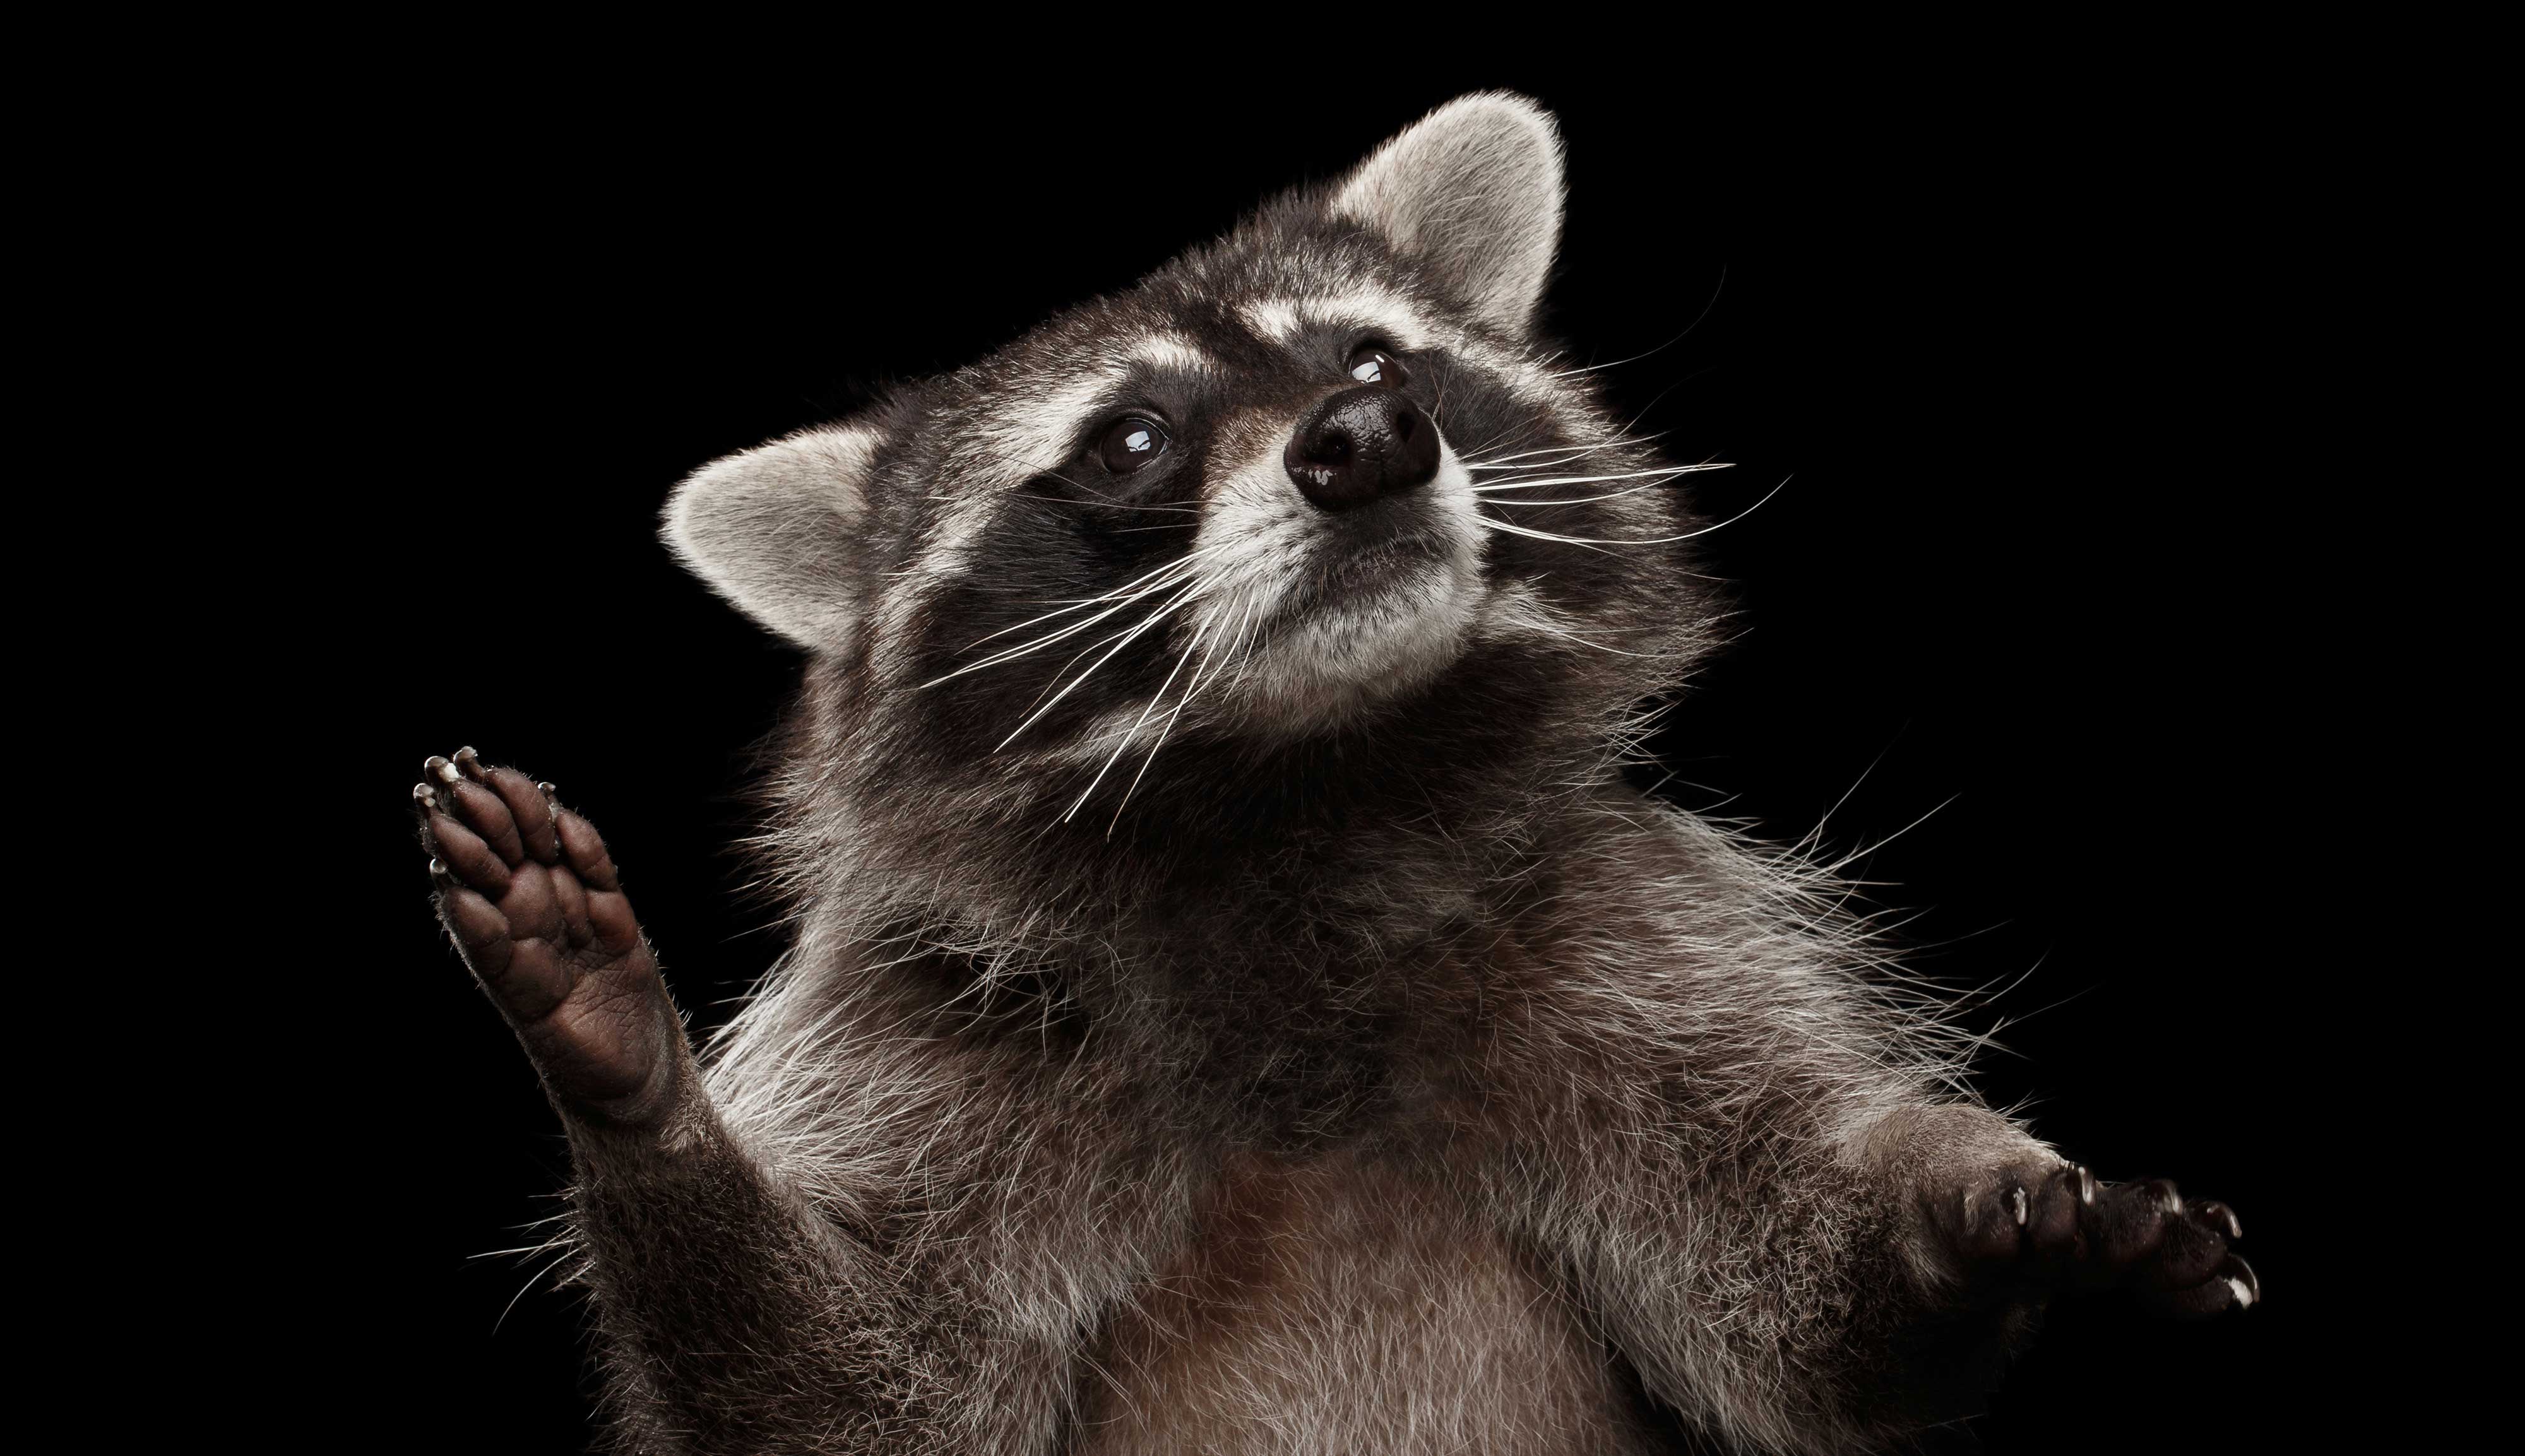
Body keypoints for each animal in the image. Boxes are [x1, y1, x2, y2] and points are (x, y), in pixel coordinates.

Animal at [410, 93, 2254, 1454]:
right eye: (1132, 440)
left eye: (1373, 360)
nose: (1367, 441)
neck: (1305, 792)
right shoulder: (938, 1031)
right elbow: (850, 1392)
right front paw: (643, 1099)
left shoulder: (1630, 931)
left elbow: (1792, 1303)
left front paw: (1965, 1220)